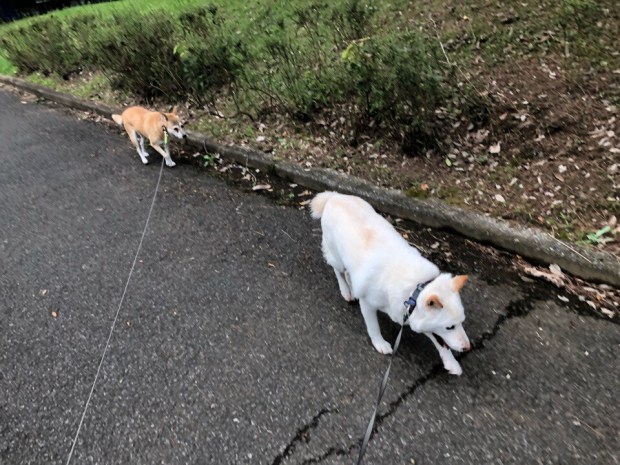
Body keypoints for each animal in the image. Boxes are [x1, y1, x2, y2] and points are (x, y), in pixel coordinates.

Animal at [311, 191, 471, 375]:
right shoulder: (368, 304)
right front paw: (379, 343)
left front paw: (451, 362)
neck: (413, 291)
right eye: (450, 327)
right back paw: (346, 290)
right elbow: (373, 327)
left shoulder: (413, 316)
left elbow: (440, 341)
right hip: (337, 259)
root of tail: (334, 197)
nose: (468, 348)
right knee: (339, 271)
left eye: (461, 322)